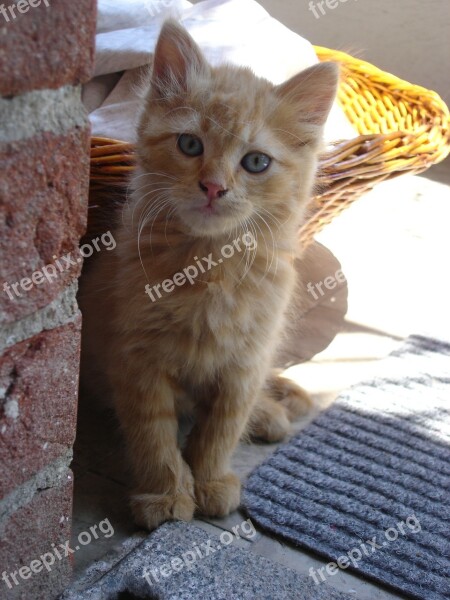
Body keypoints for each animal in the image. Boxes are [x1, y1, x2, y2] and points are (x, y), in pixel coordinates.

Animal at [80, 21, 338, 528]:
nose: (214, 187)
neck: (210, 265)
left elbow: (221, 429)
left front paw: (212, 481)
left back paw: (268, 413)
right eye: (190, 144)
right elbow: (154, 434)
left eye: (256, 162)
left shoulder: (246, 362)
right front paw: (166, 494)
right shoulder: (137, 359)